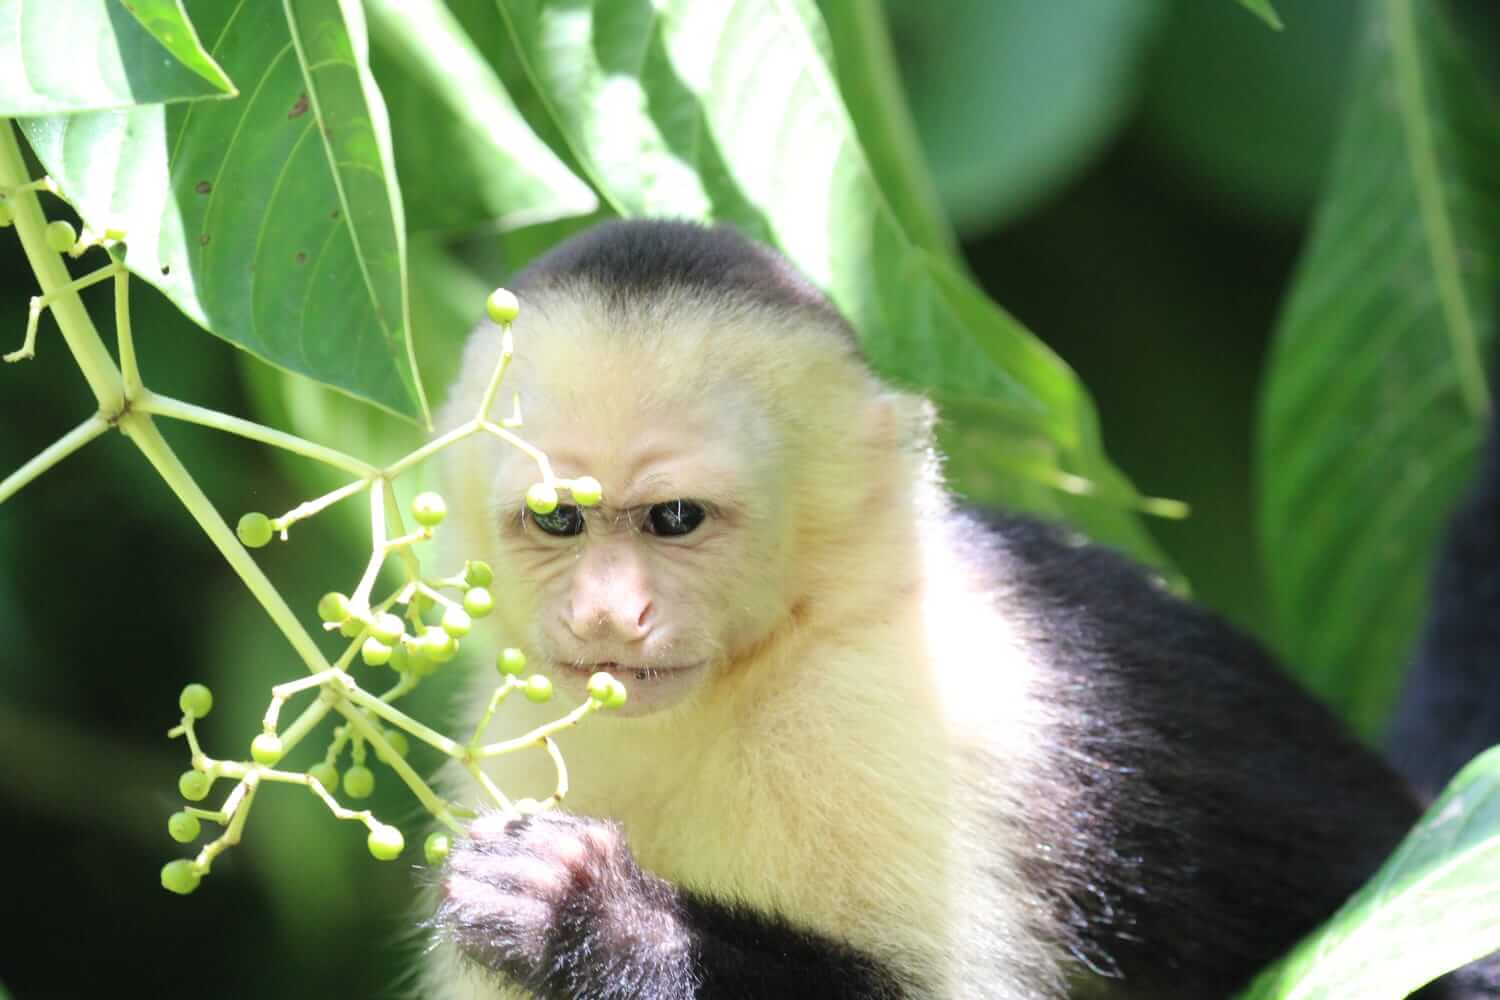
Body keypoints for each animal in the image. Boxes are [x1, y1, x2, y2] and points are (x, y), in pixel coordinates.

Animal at [426, 220, 1500, 1000]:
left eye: (676, 519)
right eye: (558, 519)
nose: (611, 615)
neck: (760, 666)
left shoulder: (876, 714)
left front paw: (590, 914)